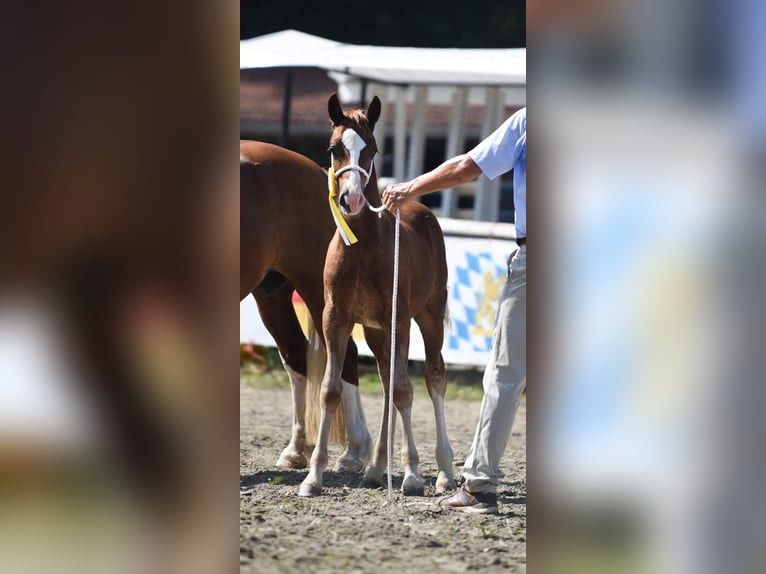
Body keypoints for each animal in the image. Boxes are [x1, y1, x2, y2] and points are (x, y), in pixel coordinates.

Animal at [240, 142, 372, 474]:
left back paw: (353, 451)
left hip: (317, 290)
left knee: (345, 354)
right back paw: (297, 449)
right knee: (296, 355)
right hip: (272, 295)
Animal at [300, 95, 456, 500]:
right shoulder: (336, 319)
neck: (362, 249)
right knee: (387, 382)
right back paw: (374, 470)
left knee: (432, 377)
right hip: (375, 331)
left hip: (428, 317)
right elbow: (331, 389)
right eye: (334, 148)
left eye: (371, 149)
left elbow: (404, 390)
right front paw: (313, 476)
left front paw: (413, 474)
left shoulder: (397, 318)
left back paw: (445, 471)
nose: (352, 199)